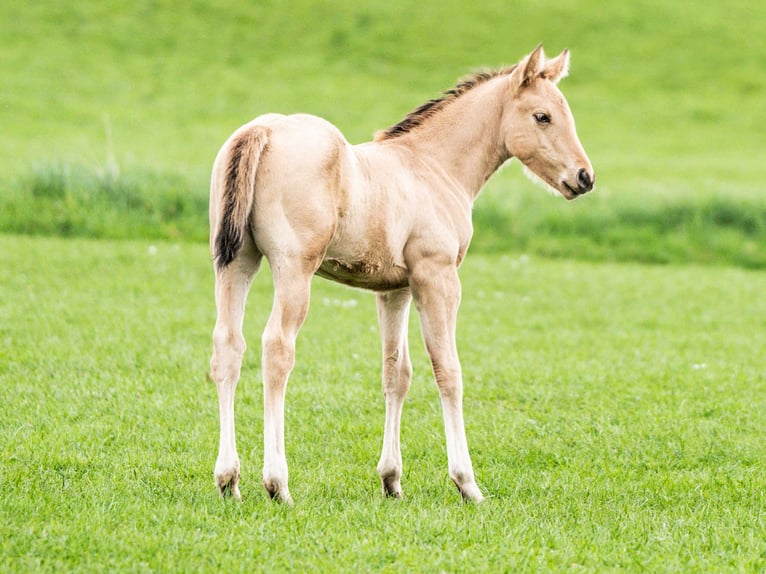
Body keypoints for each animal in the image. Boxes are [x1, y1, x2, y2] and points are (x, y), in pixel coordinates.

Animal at [208, 45, 592, 504]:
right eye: (542, 116)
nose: (584, 177)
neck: (432, 166)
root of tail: (262, 130)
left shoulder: (394, 290)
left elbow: (397, 373)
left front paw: (391, 479)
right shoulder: (437, 279)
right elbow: (448, 371)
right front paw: (467, 482)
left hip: (236, 262)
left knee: (228, 346)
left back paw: (229, 480)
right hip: (293, 269)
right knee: (277, 349)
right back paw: (277, 483)